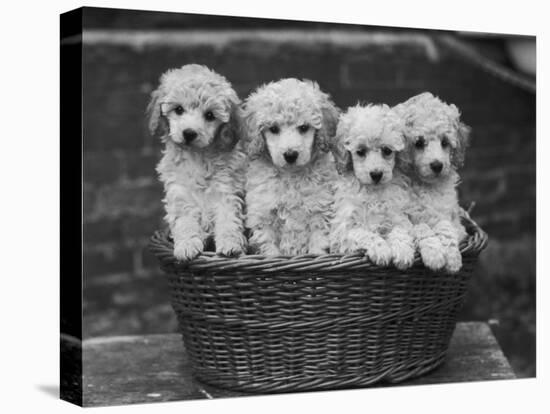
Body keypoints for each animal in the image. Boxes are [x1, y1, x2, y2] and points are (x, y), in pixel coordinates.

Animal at [149, 63, 248, 260]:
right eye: (179, 109)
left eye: (210, 115)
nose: (189, 133)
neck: (197, 157)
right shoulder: (180, 192)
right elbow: (185, 221)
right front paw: (187, 246)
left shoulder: (226, 191)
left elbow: (228, 219)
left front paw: (231, 245)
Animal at [243, 78, 338, 256]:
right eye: (273, 129)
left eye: (304, 127)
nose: (290, 154)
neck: (291, 176)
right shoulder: (263, 214)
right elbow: (268, 246)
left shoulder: (319, 209)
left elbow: (318, 240)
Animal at [330, 105, 416, 270]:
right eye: (360, 151)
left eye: (387, 150)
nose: (376, 174)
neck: (373, 192)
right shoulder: (344, 230)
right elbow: (364, 233)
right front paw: (381, 250)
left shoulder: (397, 215)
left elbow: (400, 230)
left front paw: (403, 252)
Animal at [394, 92, 472, 274]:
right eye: (419, 143)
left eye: (445, 142)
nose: (437, 165)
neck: (425, 185)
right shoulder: (404, 216)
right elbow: (421, 228)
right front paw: (434, 254)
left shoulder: (448, 215)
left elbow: (446, 227)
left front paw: (452, 258)